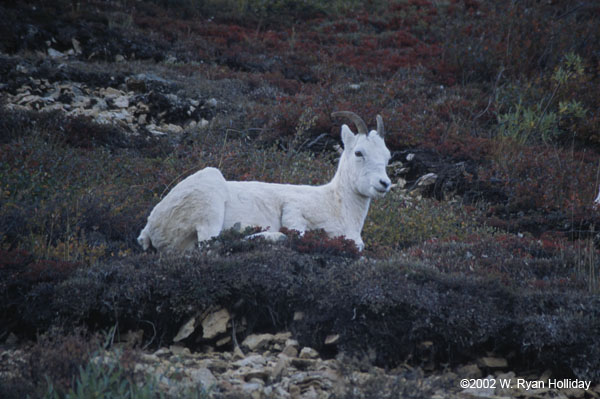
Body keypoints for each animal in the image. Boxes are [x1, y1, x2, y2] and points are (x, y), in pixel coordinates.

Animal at [140, 111, 394, 252]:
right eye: (359, 153)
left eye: (387, 155)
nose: (384, 183)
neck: (337, 205)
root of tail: (150, 228)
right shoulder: (293, 211)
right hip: (209, 202)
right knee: (212, 244)